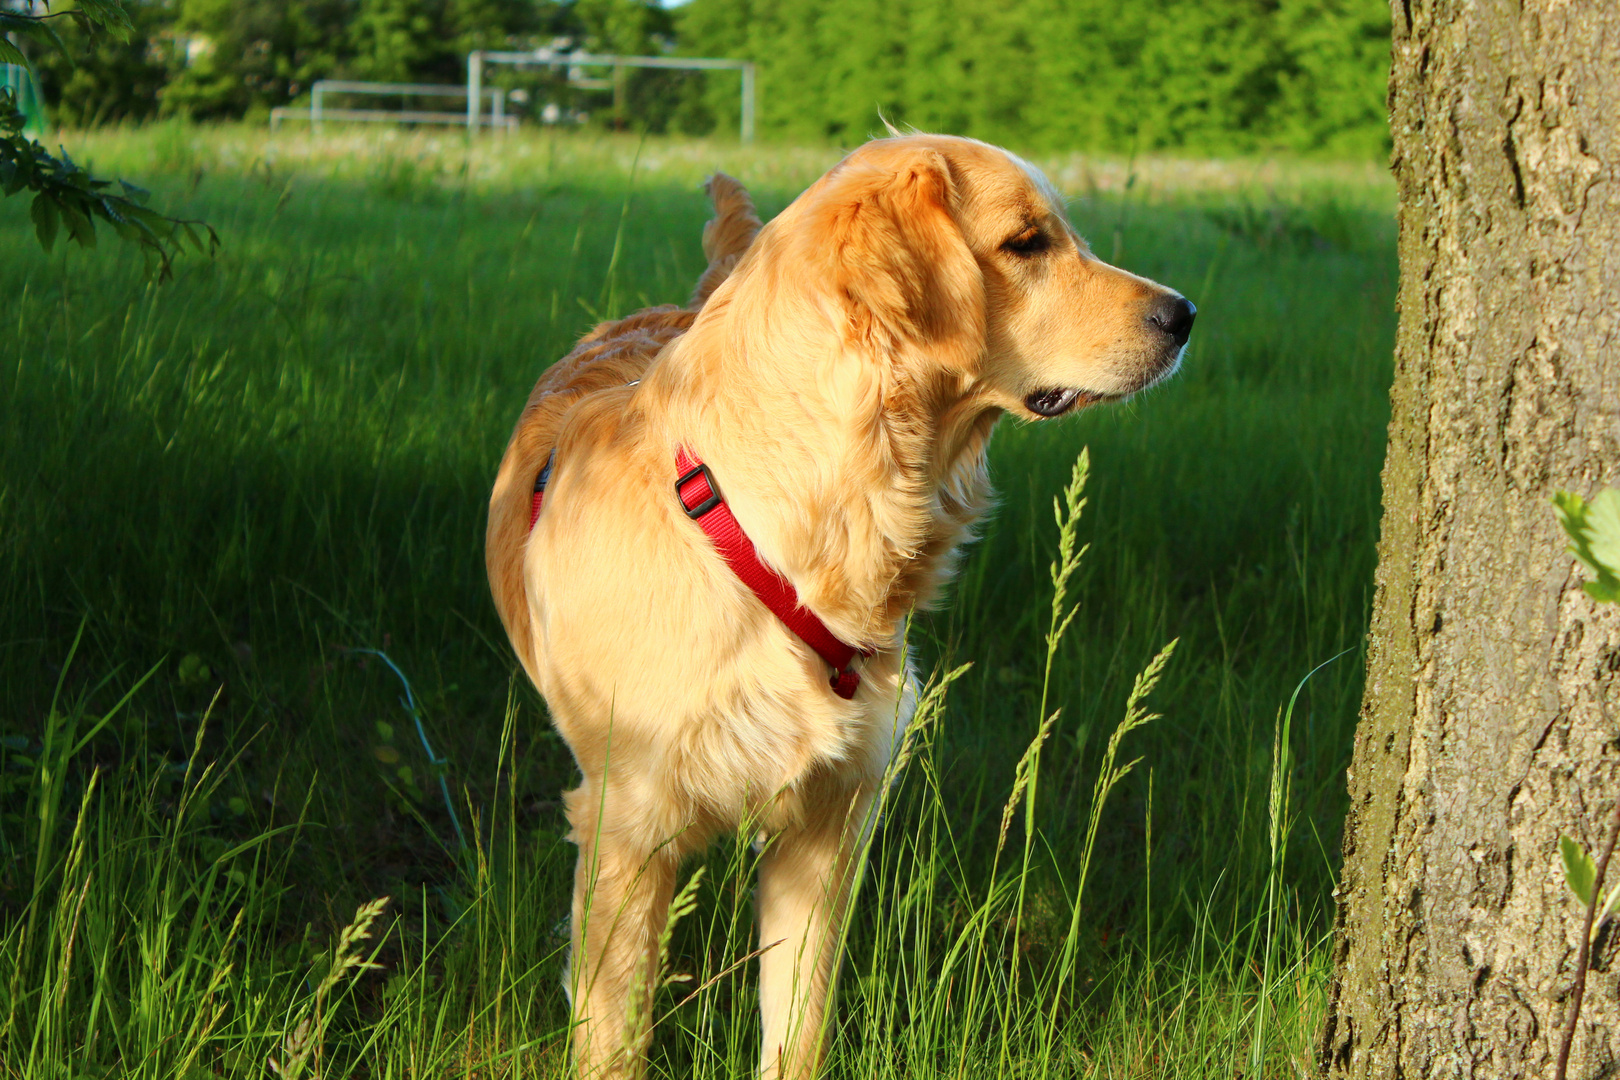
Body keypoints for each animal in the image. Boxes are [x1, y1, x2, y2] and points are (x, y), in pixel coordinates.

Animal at [479, 135, 1192, 1080]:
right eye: (1027, 243)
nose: (1185, 315)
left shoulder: (829, 824)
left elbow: (798, 1023)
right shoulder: (627, 823)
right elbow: (615, 1035)